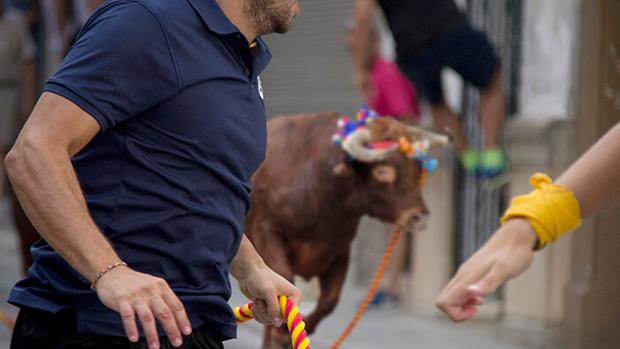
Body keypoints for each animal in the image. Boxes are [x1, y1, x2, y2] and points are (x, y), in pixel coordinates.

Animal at [245, 113, 448, 346]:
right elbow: (281, 280)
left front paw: (301, 328)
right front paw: (281, 333)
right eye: (383, 171)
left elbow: (330, 300)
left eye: (416, 169)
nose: (420, 217)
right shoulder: (267, 232)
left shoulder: (340, 249)